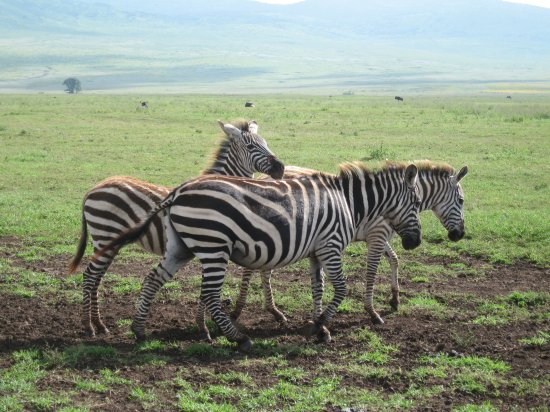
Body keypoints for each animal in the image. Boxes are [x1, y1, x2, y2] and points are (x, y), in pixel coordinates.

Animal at [68, 120, 284, 338]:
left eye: (266, 143)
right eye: (250, 146)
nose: (280, 168)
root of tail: (94, 188)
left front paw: (203, 325)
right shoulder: (211, 244)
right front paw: (205, 327)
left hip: (109, 244)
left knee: (96, 277)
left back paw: (99, 324)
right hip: (104, 237)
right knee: (90, 276)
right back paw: (89, 326)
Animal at [94, 161, 422, 350]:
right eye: (417, 202)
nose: (415, 242)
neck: (348, 202)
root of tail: (178, 192)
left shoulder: (317, 251)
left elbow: (318, 289)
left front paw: (321, 328)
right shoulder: (330, 245)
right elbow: (341, 288)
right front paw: (321, 325)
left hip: (180, 246)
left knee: (152, 280)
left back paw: (139, 330)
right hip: (213, 245)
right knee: (210, 294)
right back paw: (238, 337)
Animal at [229, 161, 470, 328]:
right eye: (461, 200)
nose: (459, 235)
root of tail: (262, 176)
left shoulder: (382, 237)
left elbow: (394, 260)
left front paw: (395, 298)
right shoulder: (377, 235)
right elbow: (372, 272)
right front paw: (372, 312)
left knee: (264, 270)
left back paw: (274, 311)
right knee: (251, 269)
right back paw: (239, 310)